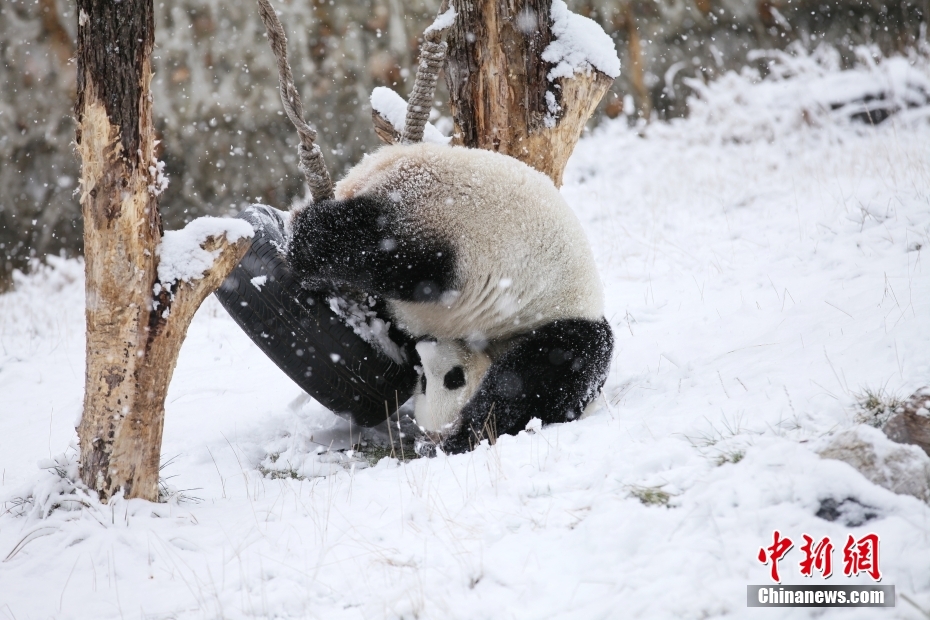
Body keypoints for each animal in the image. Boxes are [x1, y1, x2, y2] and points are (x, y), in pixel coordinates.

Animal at [286, 143, 612, 452]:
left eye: (450, 379)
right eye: (429, 381)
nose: (425, 344)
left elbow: (526, 387)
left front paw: (461, 438)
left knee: (383, 251)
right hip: (446, 221)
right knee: (387, 250)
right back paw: (307, 241)